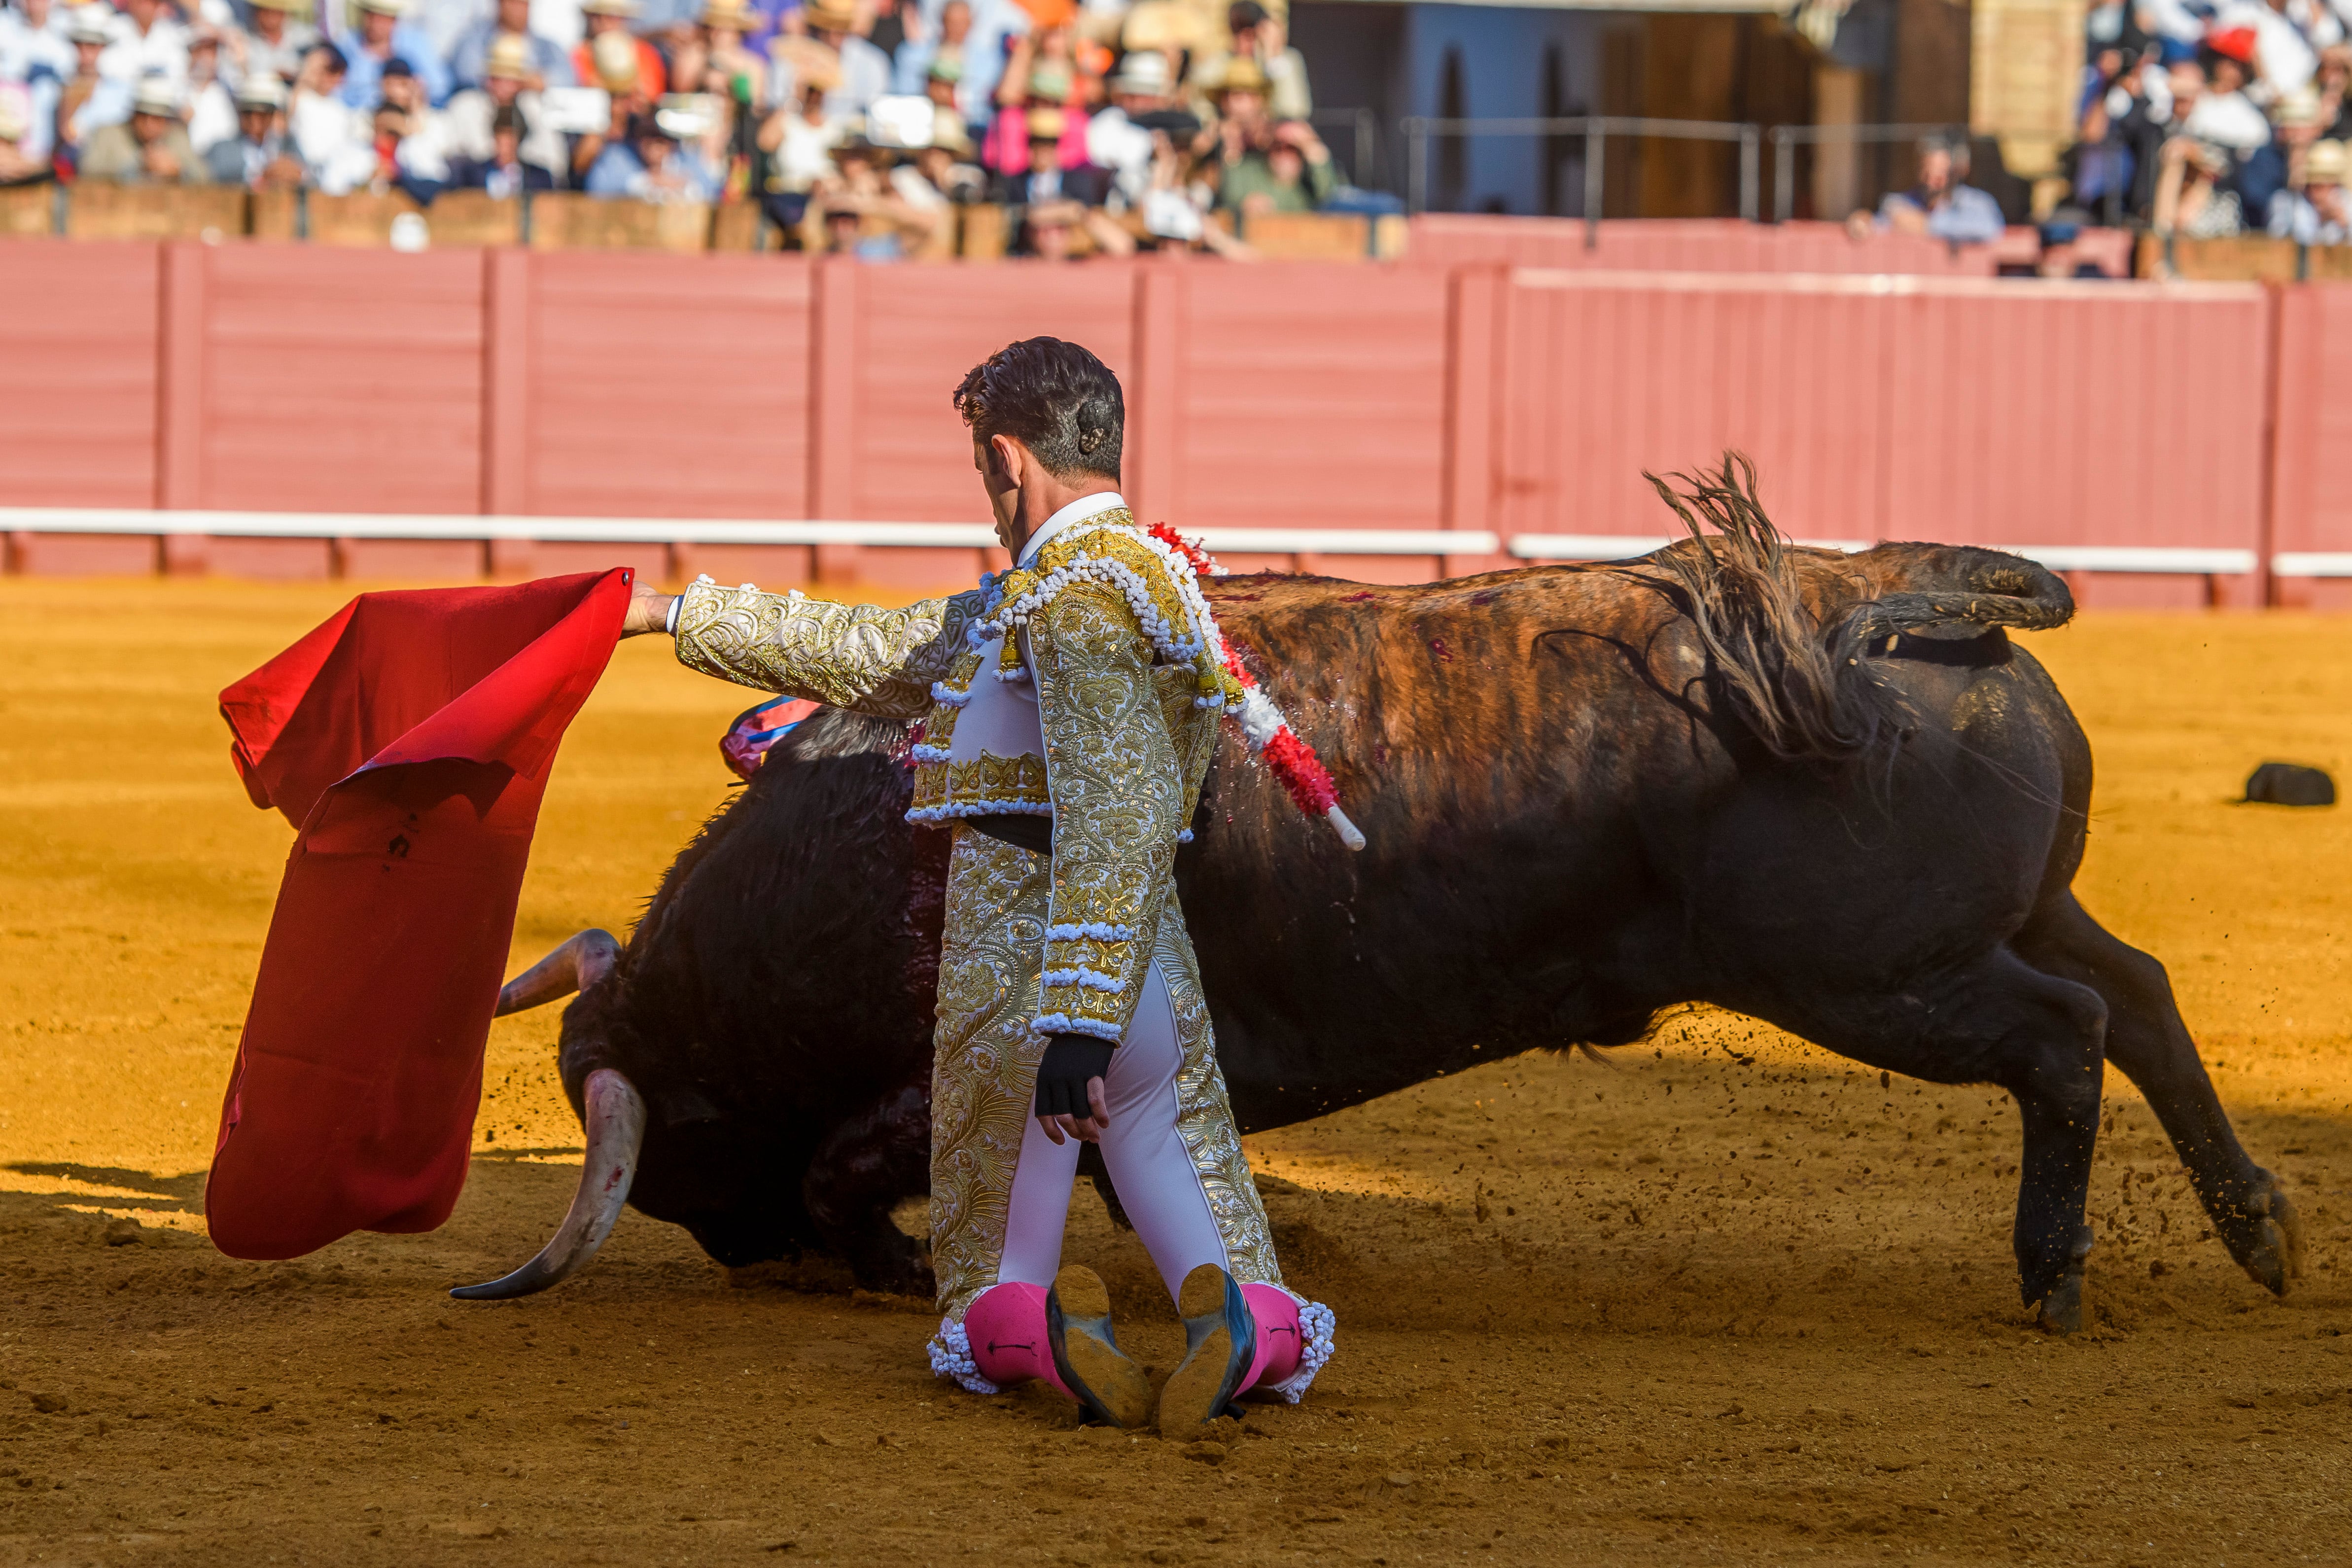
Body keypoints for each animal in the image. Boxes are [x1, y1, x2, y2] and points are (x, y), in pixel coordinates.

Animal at [468, 465, 2305, 1335]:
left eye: (688, 1150)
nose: (753, 1265)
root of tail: (1875, 602)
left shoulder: (977, 1050)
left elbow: (869, 1147)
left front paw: (887, 1249)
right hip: (1991, 920)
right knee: (2139, 992)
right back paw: (2259, 1228)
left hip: (1869, 976)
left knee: (2063, 1038)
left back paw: (2056, 1274)